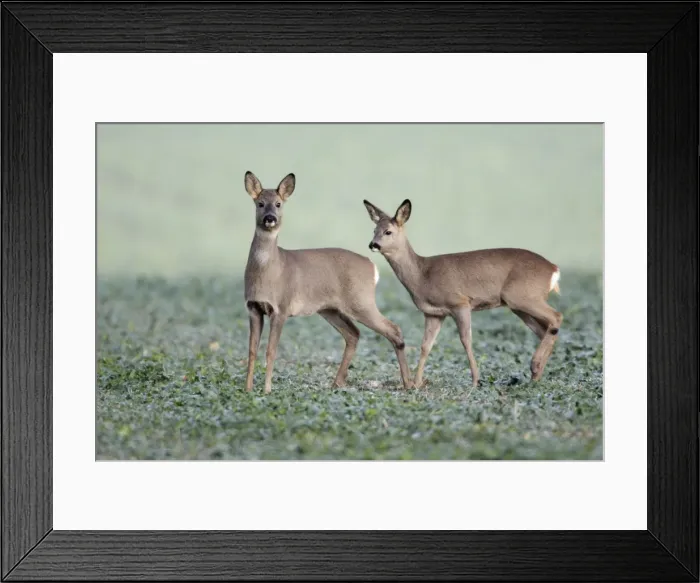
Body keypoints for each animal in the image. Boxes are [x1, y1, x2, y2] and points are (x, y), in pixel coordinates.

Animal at [242, 171, 413, 394]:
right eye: (260, 203)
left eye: (278, 204)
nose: (270, 218)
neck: (270, 270)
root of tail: (372, 266)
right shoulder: (253, 307)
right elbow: (252, 350)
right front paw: (247, 389)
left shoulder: (281, 308)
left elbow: (271, 350)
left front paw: (267, 390)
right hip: (330, 309)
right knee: (353, 334)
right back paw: (337, 382)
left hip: (361, 301)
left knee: (393, 329)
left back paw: (408, 383)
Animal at [362, 198, 563, 388]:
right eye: (374, 230)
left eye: (388, 231)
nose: (373, 244)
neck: (422, 275)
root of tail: (554, 269)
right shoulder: (434, 313)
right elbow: (426, 345)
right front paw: (416, 384)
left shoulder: (460, 303)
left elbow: (466, 340)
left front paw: (475, 381)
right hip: (519, 305)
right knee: (544, 329)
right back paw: (536, 375)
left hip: (522, 296)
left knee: (557, 316)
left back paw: (535, 366)